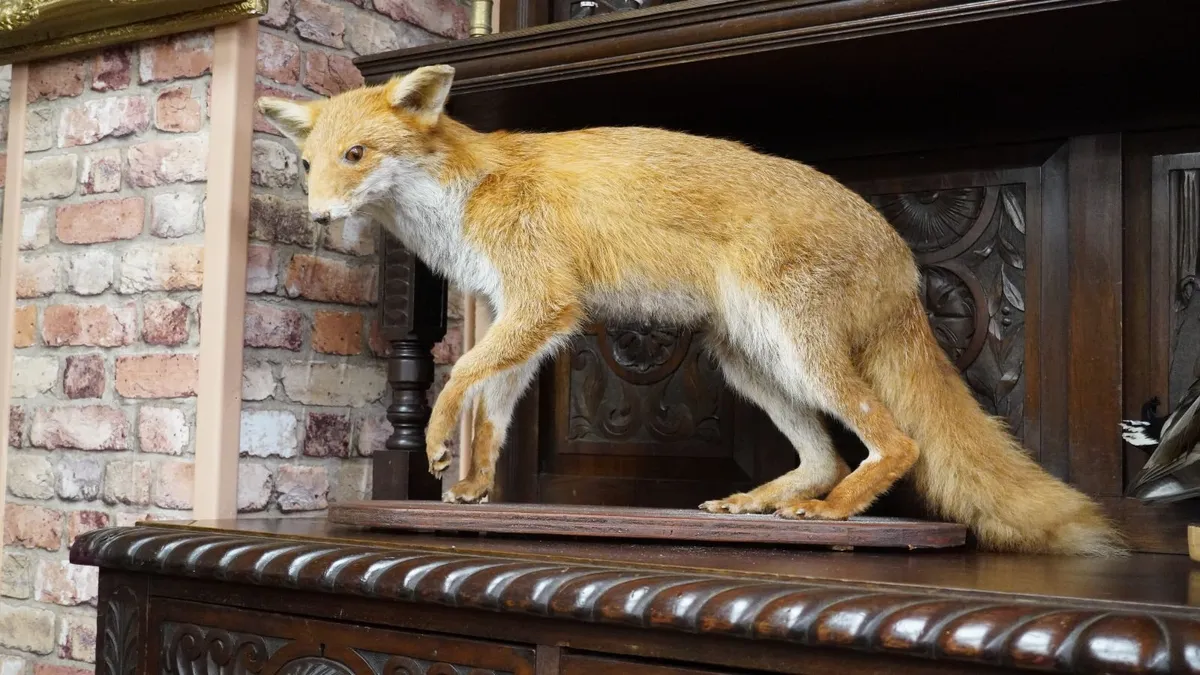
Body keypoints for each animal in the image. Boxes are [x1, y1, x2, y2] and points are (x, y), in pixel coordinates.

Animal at [258, 64, 1125, 556]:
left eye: (357, 156)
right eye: (306, 164)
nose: (320, 217)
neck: (463, 197)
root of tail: (901, 252)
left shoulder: (541, 301)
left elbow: (459, 378)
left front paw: (440, 444)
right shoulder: (522, 313)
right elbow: (494, 404)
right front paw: (472, 487)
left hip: (798, 351)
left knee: (899, 444)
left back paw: (835, 516)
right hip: (750, 362)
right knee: (826, 456)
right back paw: (761, 503)